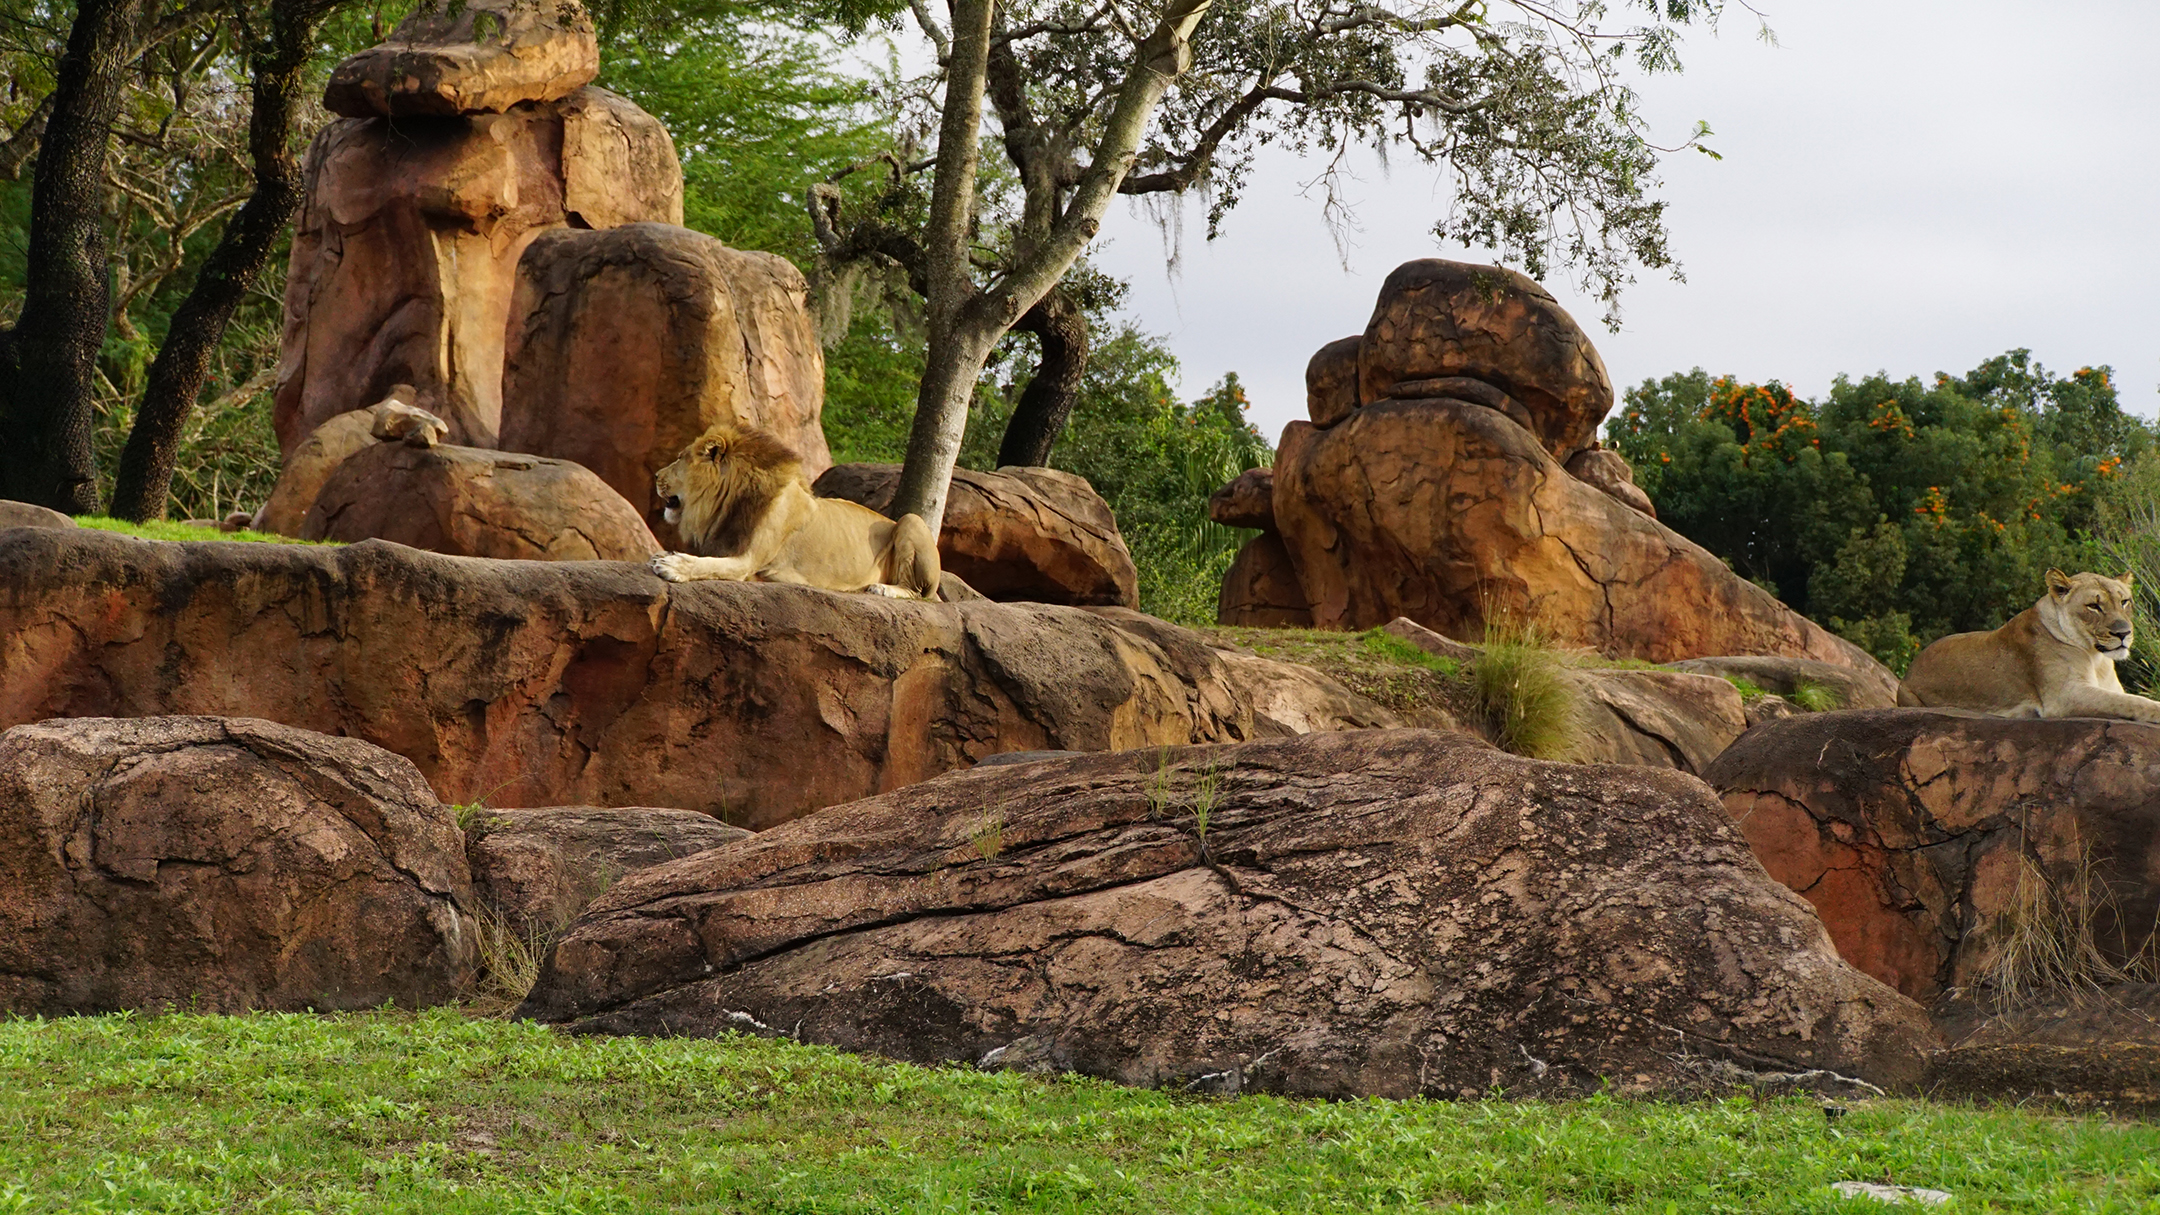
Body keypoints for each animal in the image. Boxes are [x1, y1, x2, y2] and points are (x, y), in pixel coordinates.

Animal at [646, 422, 941, 599]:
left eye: (680, 458)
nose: (656, 475)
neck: (726, 502)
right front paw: (665, 555)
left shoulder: (747, 560)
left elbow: (708, 565)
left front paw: (672, 565)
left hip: (912, 521)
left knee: (918, 592)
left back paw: (882, 589)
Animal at [1896, 569, 2160, 722]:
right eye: (2093, 606)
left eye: (2124, 602)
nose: (2123, 633)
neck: (2097, 659)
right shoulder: (2064, 696)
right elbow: (2130, 702)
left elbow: (2126, 698)